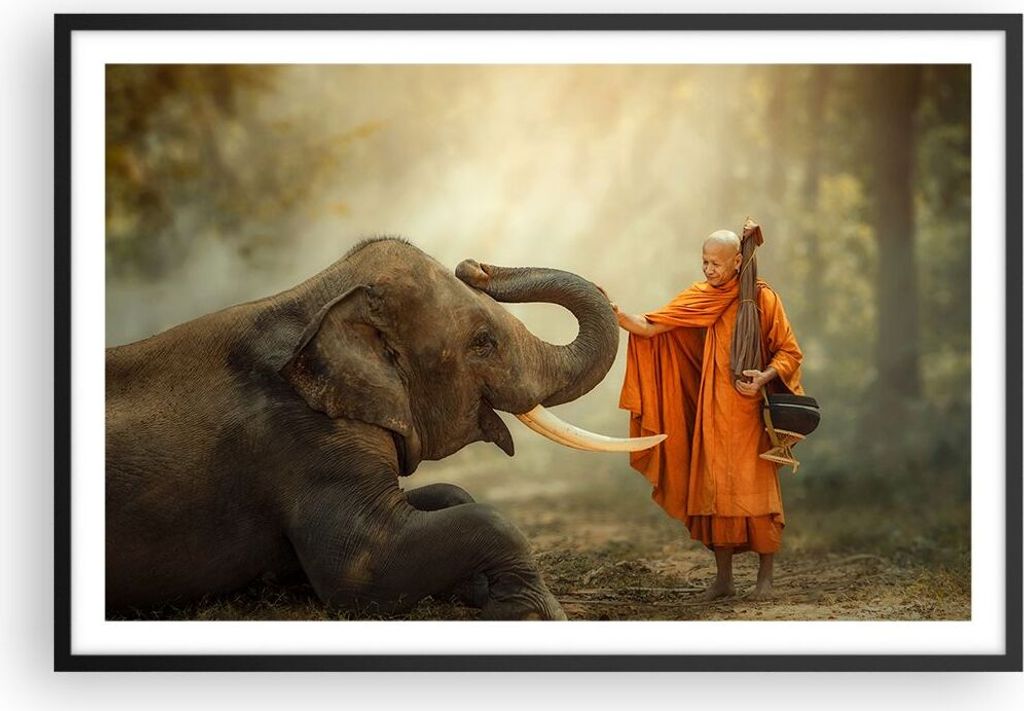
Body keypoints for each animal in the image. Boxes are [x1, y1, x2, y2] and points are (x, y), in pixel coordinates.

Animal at [105, 237, 661, 620]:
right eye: (482, 342)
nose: (475, 265)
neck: (315, 299)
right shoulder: (304, 437)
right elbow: (358, 567)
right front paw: (529, 613)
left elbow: (451, 494)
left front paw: (478, 589)